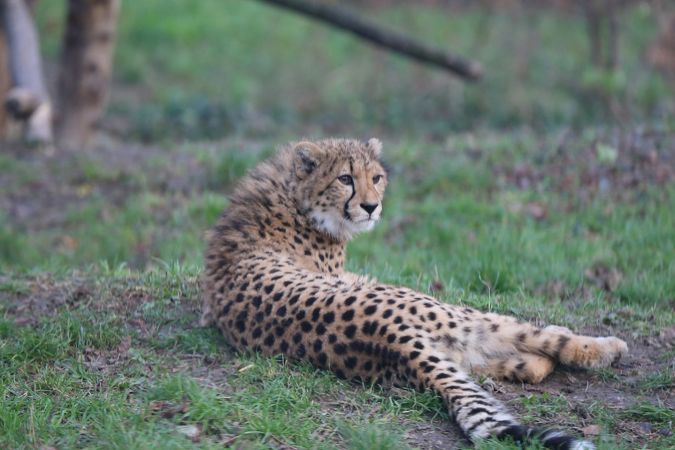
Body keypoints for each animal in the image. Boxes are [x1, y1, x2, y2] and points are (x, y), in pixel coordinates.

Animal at [202, 138, 628, 450]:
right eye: (345, 179)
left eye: (376, 177)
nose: (371, 207)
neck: (293, 195)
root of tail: (388, 337)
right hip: (451, 313)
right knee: (526, 336)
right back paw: (603, 346)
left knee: (500, 362)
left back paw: (541, 362)